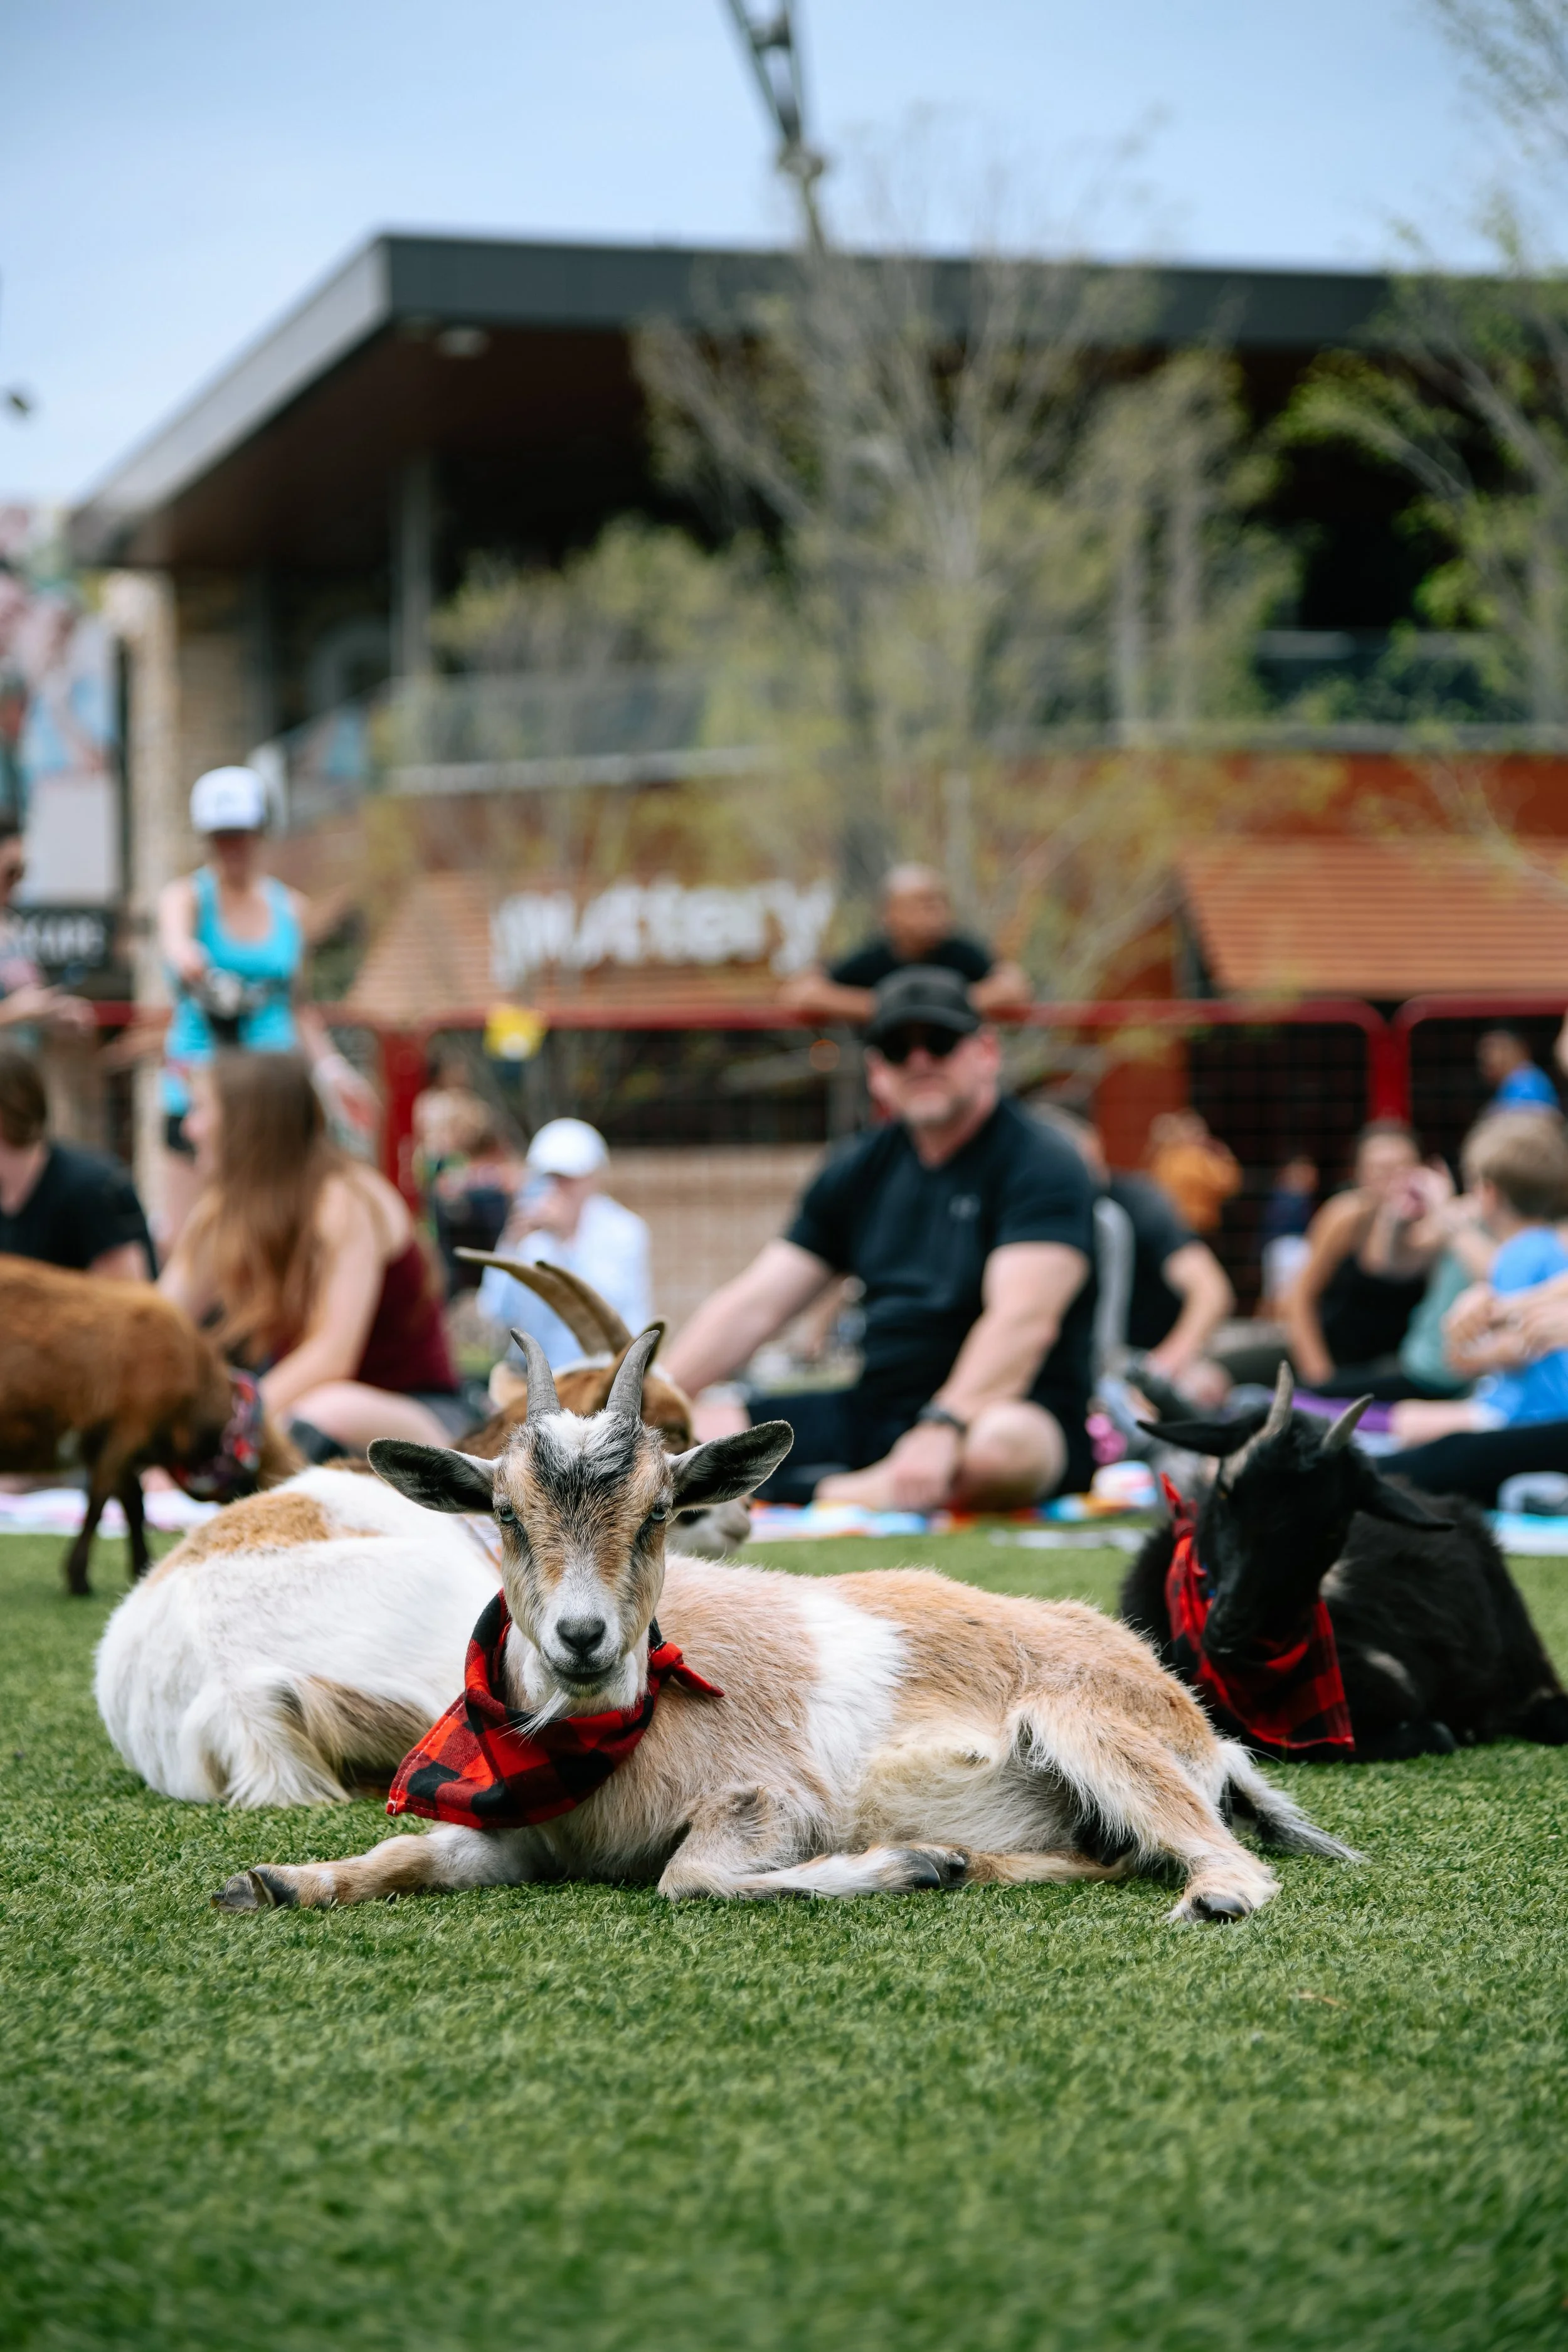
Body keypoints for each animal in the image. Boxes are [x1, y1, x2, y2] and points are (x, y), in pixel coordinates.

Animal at [0, 1256, 298, 1595]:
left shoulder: (110, 1442)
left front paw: (140, 1569)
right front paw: (80, 1579)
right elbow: (102, 1502)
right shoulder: (128, 1426)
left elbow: (132, 1502)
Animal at [201, 1327, 1355, 1924]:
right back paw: (971, 1862)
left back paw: (1200, 1895)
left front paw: (894, 1867)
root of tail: (1198, 1722)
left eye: (658, 1510)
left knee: (1220, 1855)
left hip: (1095, 1730)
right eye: (506, 1515)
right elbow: (408, 1855)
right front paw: (278, 1880)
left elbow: (689, 1877)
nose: (583, 1640)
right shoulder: (518, 1834)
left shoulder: (769, 1800)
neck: (602, 1752)